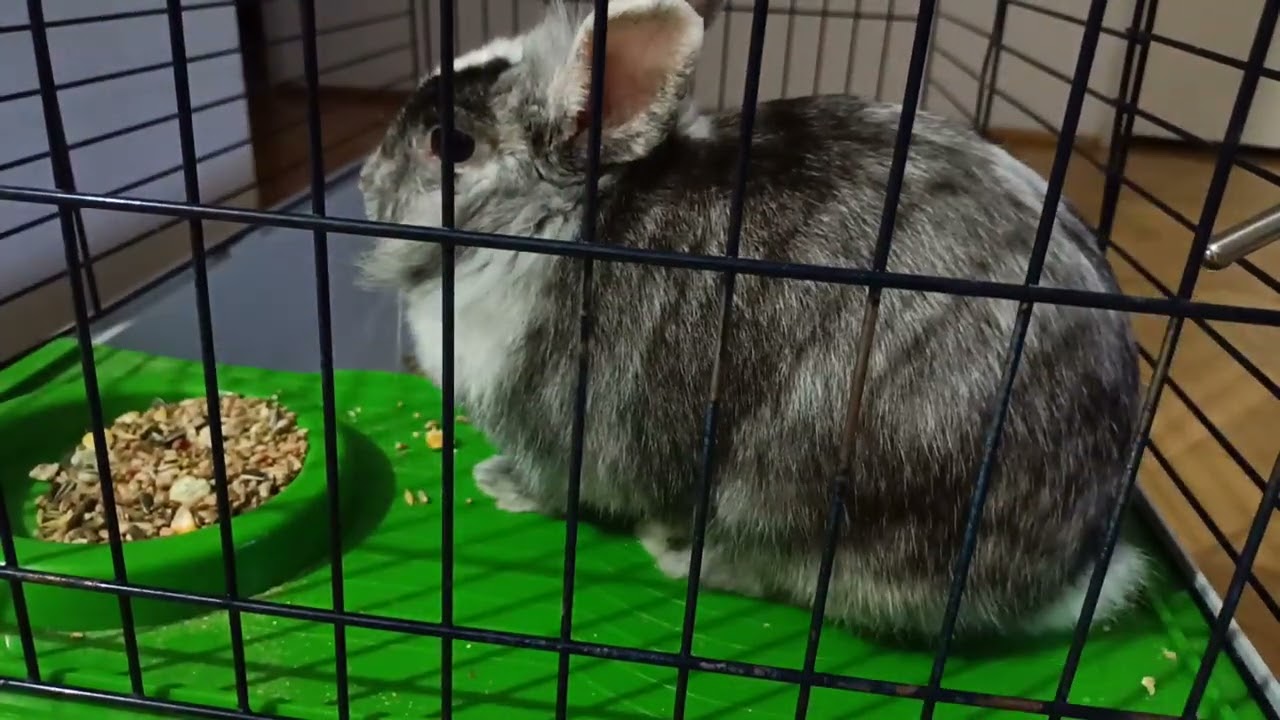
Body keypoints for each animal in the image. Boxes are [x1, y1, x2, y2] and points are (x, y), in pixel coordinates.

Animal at [356, 0, 1147, 641]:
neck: (552, 225)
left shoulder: (560, 439)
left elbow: (554, 487)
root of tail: (1064, 574)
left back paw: (678, 551)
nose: (364, 180)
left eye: (450, 144)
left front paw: (497, 483)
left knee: (788, 574)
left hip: (792, 491)